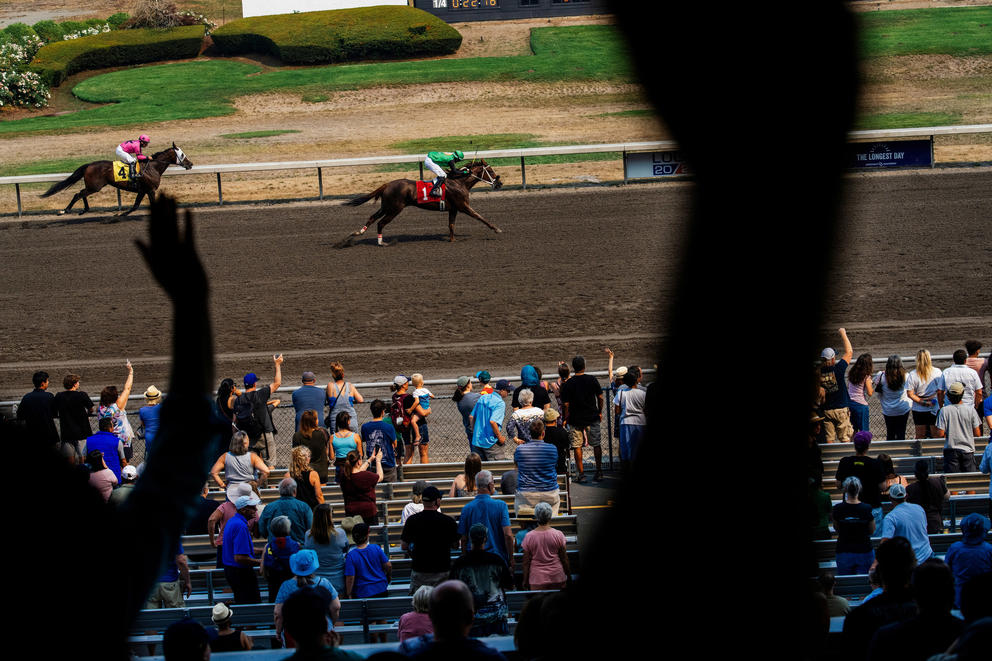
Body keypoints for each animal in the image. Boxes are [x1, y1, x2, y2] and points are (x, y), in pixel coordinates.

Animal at [40, 144, 194, 217]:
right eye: (181, 154)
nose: (190, 164)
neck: (153, 167)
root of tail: (89, 165)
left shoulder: (143, 190)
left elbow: (135, 205)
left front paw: (120, 214)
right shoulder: (150, 190)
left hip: (93, 187)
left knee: (81, 193)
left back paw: (84, 210)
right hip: (95, 186)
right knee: (78, 194)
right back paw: (65, 210)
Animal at [338, 159, 504, 246]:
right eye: (491, 171)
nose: (499, 183)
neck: (459, 182)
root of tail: (387, 184)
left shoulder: (453, 209)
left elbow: (451, 224)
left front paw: (452, 239)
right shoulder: (463, 206)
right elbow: (480, 217)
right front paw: (497, 229)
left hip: (387, 206)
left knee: (372, 217)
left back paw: (357, 233)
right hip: (395, 208)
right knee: (381, 222)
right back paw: (381, 242)